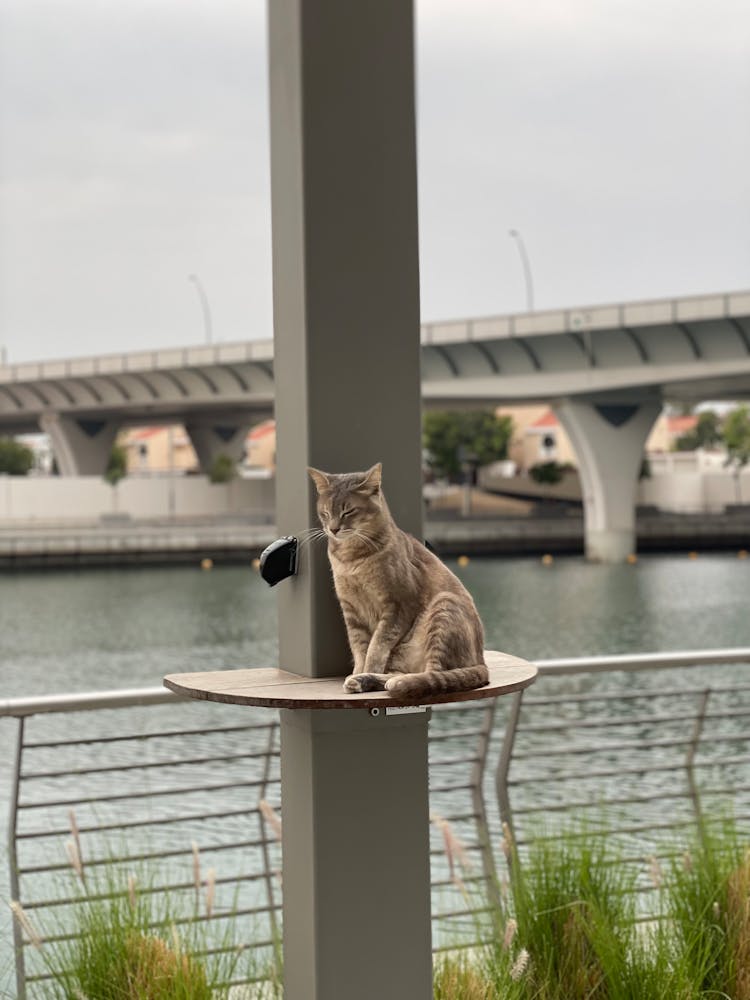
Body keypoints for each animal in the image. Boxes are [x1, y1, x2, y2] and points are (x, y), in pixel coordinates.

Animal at [308, 460, 490, 696]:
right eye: (325, 512)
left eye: (348, 511)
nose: (333, 529)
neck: (351, 558)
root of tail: (481, 661)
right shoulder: (351, 610)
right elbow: (359, 647)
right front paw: (358, 671)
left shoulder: (398, 605)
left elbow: (376, 647)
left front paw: (366, 669)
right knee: (400, 672)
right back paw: (366, 679)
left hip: (444, 606)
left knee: (434, 674)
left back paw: (395, 682)